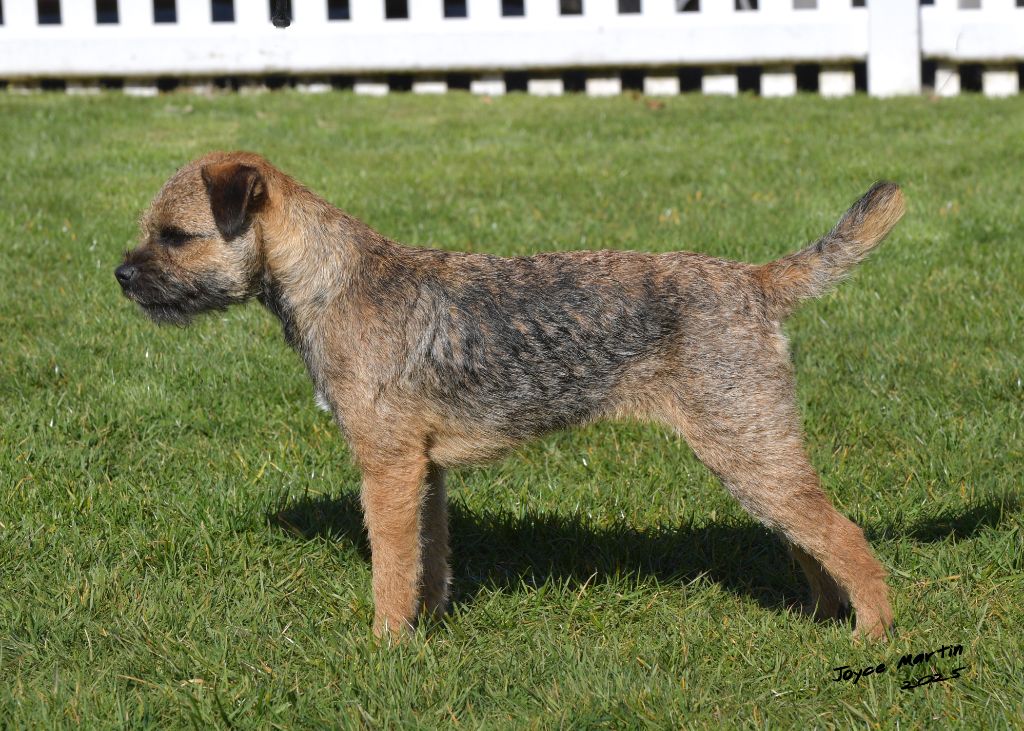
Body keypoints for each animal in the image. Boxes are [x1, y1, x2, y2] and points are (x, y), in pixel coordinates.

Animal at [116, 151, 905, 640]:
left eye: (175, 236)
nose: (121, 275)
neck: (332, 280)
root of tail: (755, 281)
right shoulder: (424, 470)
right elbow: (429, 558)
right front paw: (428, 626)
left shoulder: (387, 466)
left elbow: (390, 566)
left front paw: (383, 644)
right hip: (757, 452)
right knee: (811, 540)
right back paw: (823, 616)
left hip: (746, 446)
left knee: (847, 537)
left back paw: (872, 633)